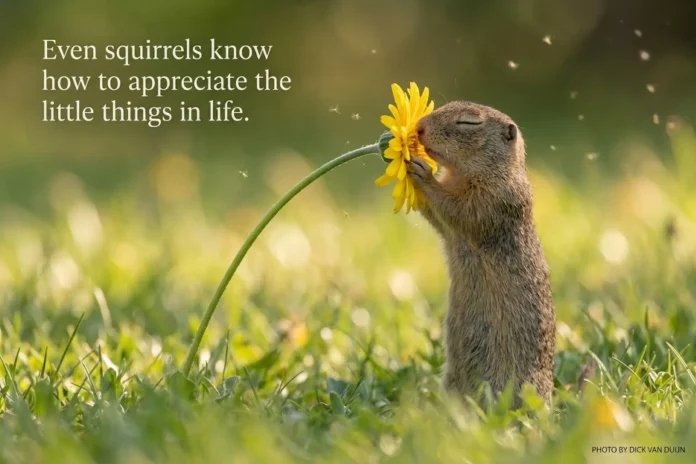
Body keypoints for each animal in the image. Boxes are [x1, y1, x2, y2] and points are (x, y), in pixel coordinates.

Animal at [407, 101, 555, 407]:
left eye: (469, 122)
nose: (419, 128)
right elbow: (439, 218)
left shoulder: (492, 198)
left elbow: (456, 209)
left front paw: (422, 172)